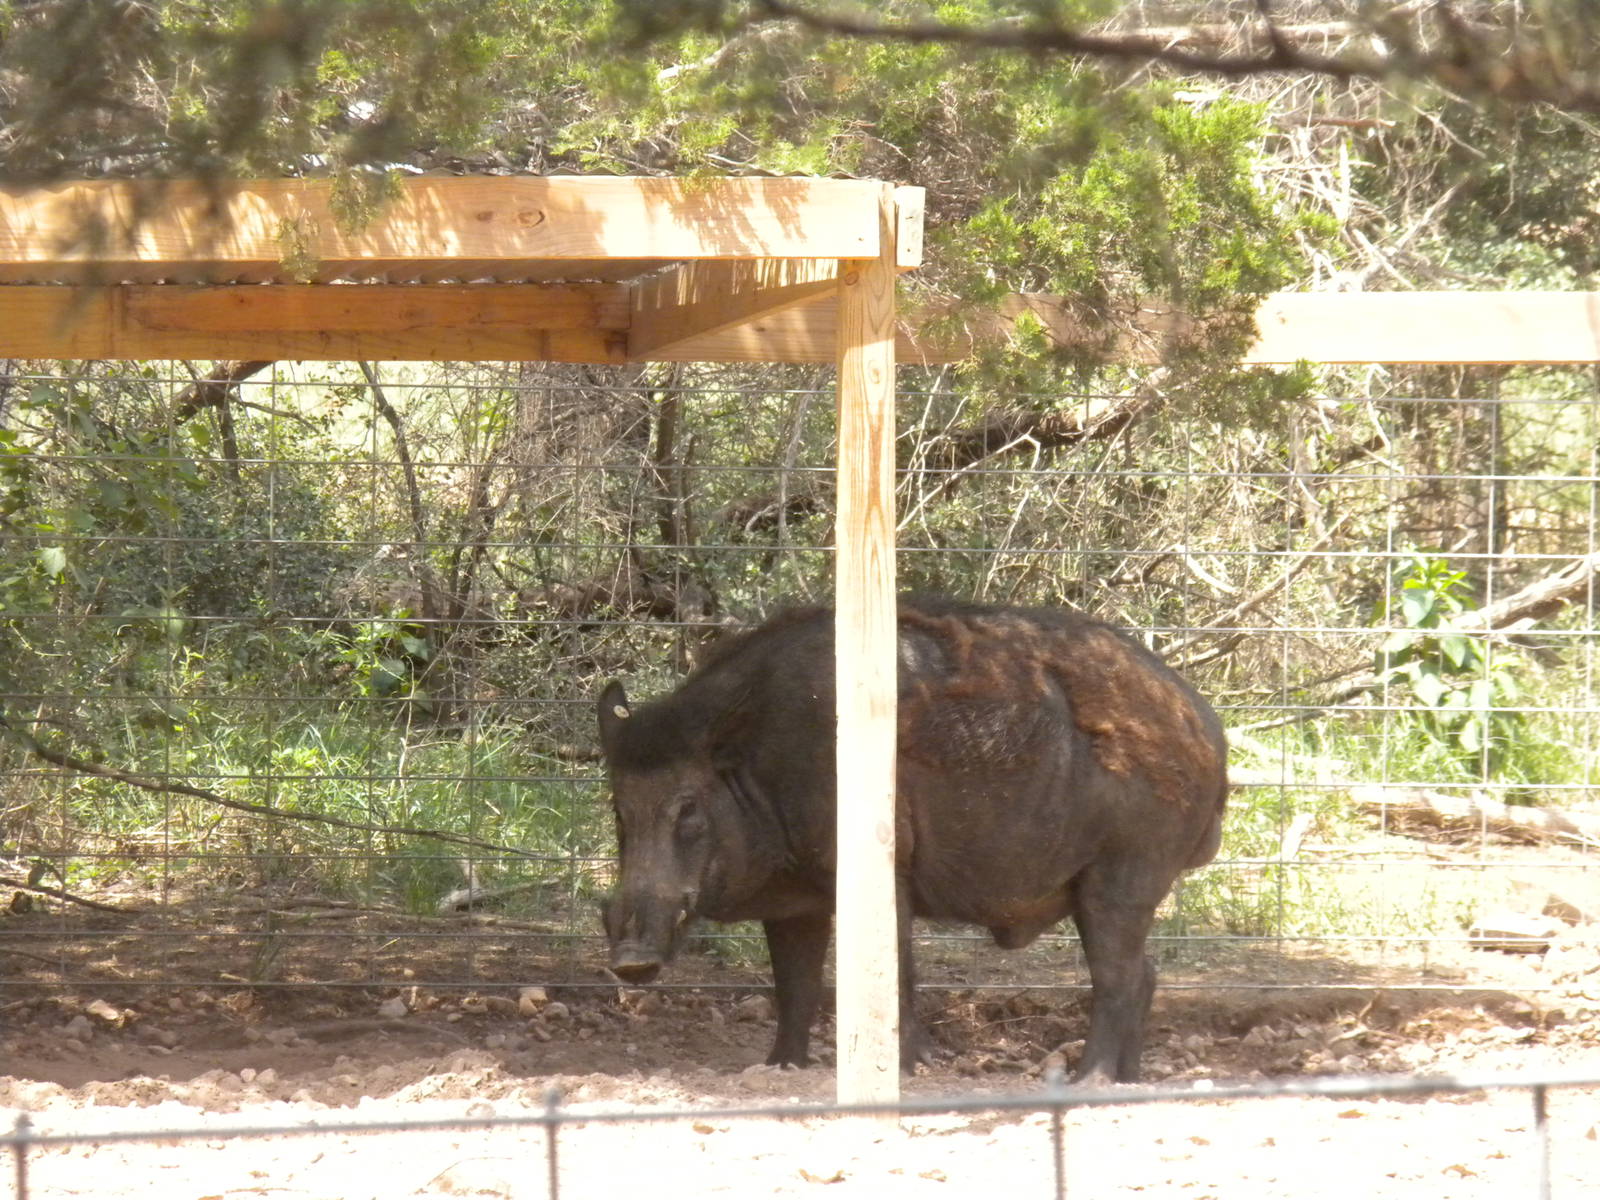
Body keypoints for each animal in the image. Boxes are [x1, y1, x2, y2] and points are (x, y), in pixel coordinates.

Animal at [597, 598, 1226, 1083]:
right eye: (619, 809)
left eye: (687, 808)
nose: (630, 960)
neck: (762, 769)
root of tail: (1208, 728)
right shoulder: (796, 900)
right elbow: (795, 984)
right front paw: (780, 1068)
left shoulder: (884, 865)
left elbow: (893, 965)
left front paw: (914, 1067)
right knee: (1145, 974)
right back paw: (1127, 1080)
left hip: (1127, 870)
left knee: (1120, 978)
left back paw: (1088, 1081)